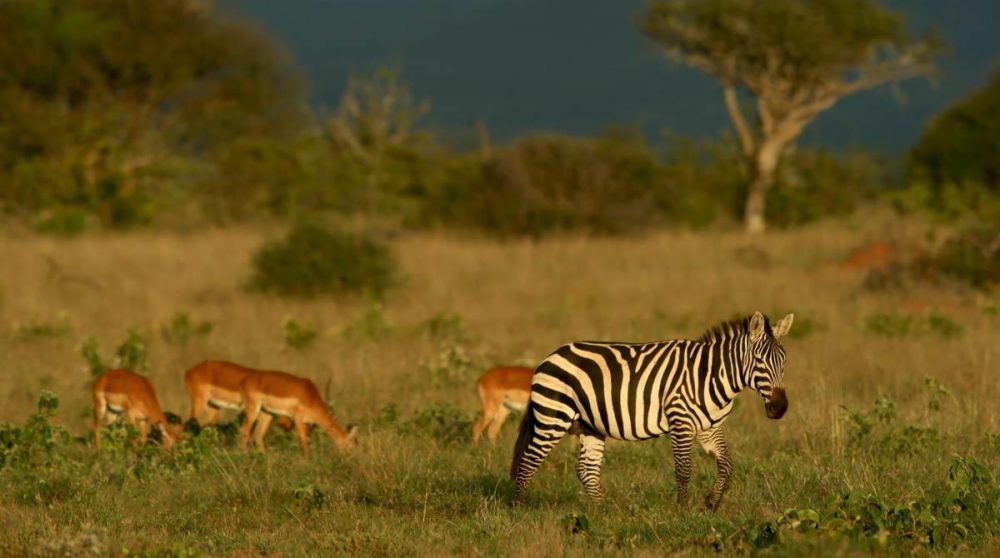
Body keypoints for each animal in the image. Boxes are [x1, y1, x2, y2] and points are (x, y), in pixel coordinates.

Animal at [510, 311, 793, 509]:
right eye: (759, 361)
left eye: (784, 361)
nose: (780, 408)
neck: (711, 375)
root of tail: (551, 356)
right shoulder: (681, 421)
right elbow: (684, 470)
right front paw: (683, 511)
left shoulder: (710, 427)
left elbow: (726, 464)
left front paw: (711, 503)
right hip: (553, 417)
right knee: (528, 461)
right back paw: (518, 510)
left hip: (589, 426)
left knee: (587, 471)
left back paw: (603, 513)